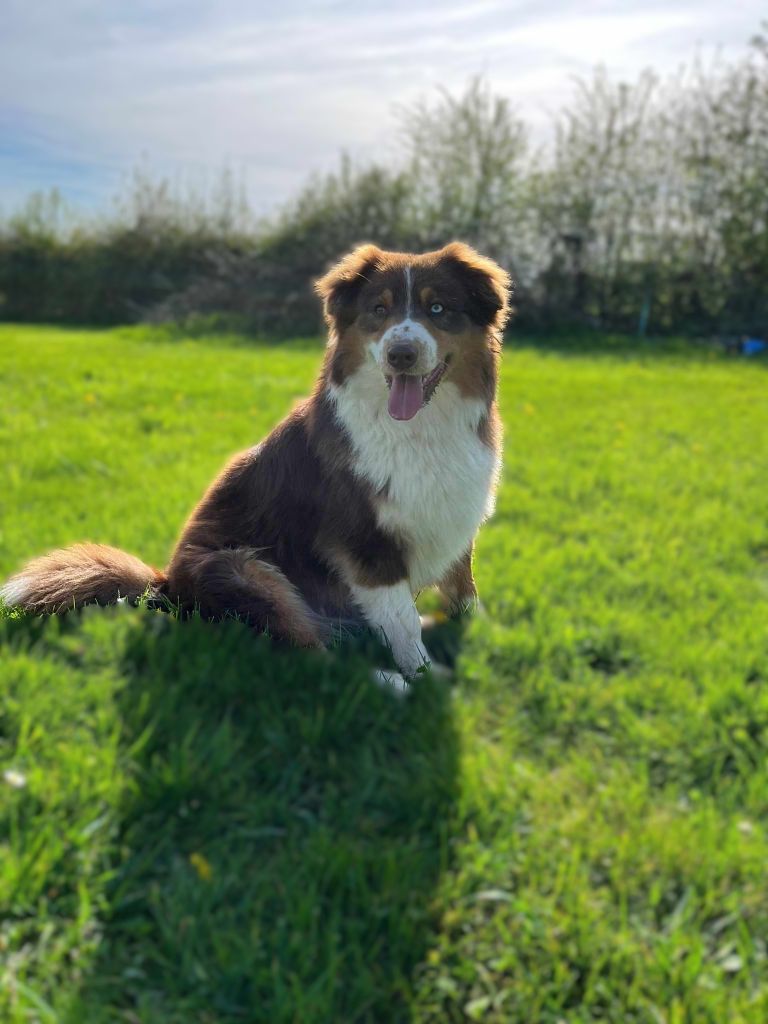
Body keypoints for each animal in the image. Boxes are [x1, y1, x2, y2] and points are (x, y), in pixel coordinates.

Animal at [4, 242, 518, 684]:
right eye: (379, 310)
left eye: (438, 309)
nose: (401, 354)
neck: (422, 429)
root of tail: (166, 586)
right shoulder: (365, 542)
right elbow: (402, 619)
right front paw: (424, 674)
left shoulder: (456, 514)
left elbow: (464, 589)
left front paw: (482, 634)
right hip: (245, 570)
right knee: (309, 654)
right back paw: (386, 684)